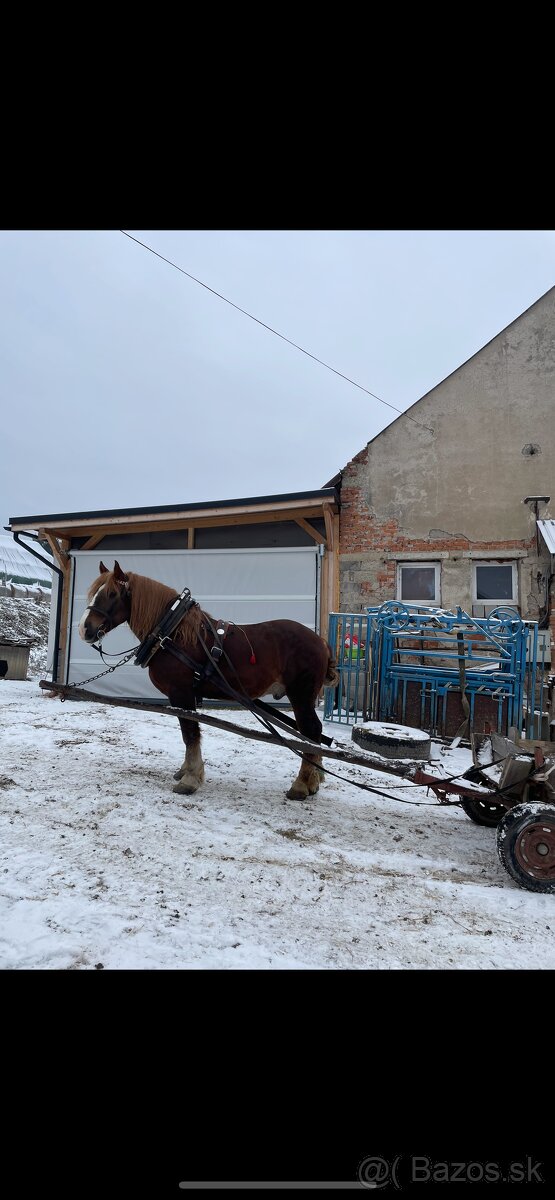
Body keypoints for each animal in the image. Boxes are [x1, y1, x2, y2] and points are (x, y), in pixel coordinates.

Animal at [78, 559, 338, 801]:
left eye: (112, 594)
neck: (172, 634)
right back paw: (314, 778)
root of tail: (321, 642)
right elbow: (187, 732)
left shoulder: (181, 692)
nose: (84, 629)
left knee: (311, 731)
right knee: (311, 734)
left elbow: (190, 733)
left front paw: (190, 779)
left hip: (301, 696)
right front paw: (185, 771)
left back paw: (302, 784)